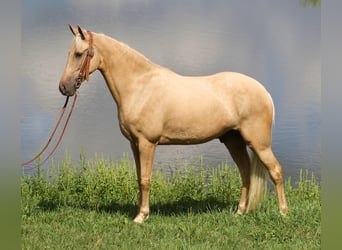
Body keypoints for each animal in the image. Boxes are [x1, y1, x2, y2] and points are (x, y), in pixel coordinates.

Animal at [59, 25, 288, 224]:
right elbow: (139, 178)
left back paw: (283, 213)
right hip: (234, 141)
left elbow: (145, 179)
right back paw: (240, 212)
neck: (140, 87)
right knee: (246, 173)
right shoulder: (134, 144)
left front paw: (141, 216)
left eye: (78, 54)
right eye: (69, 52)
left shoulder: (147, 143)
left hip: (258, 144)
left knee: (275, 171)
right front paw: (140, 212)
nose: (63, 88)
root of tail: (264, 92)